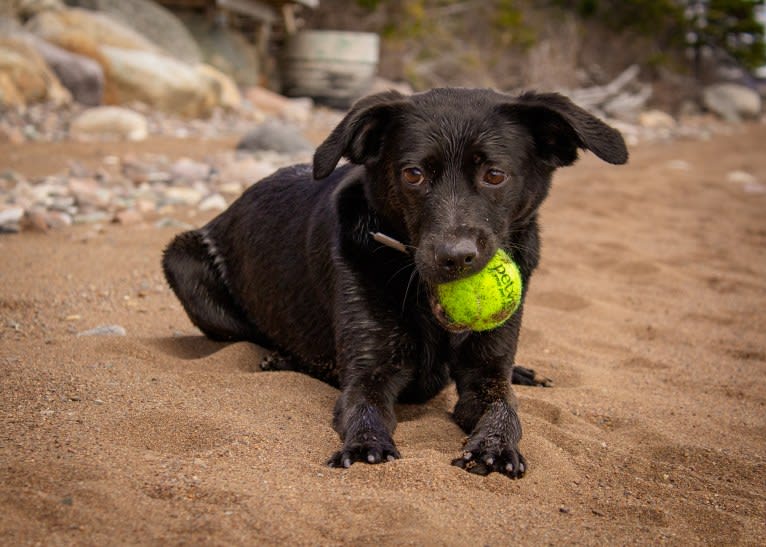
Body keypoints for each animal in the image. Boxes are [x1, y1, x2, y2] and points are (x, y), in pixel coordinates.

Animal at [164, 88, 632, 478]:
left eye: (495, 175)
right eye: (413, 174)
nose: (455, 258)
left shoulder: (485, 373)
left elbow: (505, 408)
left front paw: (496, 446)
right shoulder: (369, 372)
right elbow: (364, 408)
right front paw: (365, 445)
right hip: (181, 260)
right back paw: (283, 359)